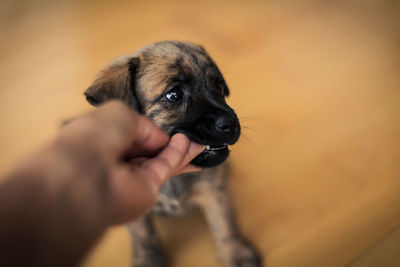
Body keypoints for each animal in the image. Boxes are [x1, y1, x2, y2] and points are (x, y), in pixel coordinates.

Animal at [83, 41, 262, 267]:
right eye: (174, 95)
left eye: (220, 87)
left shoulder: (213, 189)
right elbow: (144, 236)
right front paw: (149, 259)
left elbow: (224, 222)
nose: (231, 124)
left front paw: (235, 252)